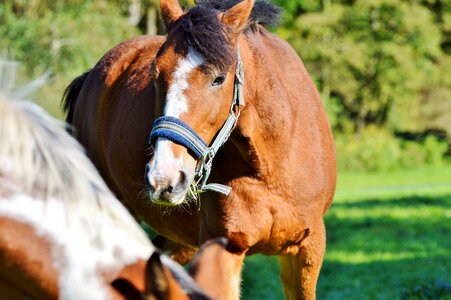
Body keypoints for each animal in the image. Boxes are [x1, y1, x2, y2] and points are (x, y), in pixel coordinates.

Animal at [62, 1, 336, 298]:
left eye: (219, 78)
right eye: (155, 75)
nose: (164, 178)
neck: (270, 167)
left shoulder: (308, 252)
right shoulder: (224, 250)